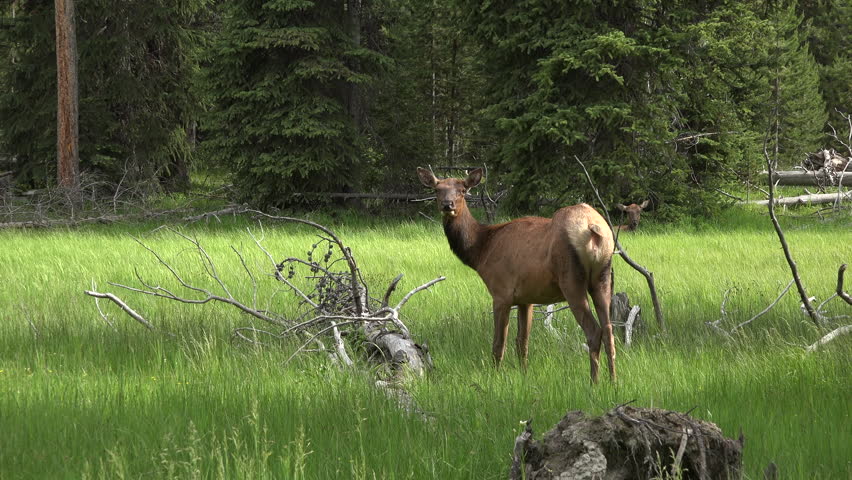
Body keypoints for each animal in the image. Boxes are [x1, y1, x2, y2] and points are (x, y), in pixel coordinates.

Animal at [417, 167, 617, 383]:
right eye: (437, 189)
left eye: (462, 190)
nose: (448, 205)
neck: (481, 251)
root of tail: (594, 229)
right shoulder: (525, 298)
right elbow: (522, 342)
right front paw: (524, 375)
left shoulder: (501, 293)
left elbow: (499, 344)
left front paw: (495, 377)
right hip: (603, 278)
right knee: (609, 330)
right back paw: (613, 381)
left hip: (571, 280)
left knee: (594, 331)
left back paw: (594, 382)